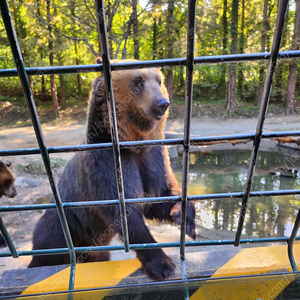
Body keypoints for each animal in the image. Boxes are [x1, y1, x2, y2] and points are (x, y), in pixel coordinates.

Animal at [28, 59, 197, 282]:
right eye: (138, 80)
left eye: (158, 81)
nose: (162, 103)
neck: (132, 143)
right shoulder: (106, 161)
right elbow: (123, 211)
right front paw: (162, 263)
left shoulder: (153, 156)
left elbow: (160, 194)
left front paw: (185, 218)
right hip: (63, 226)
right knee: (48, 249)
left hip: (96, 249)